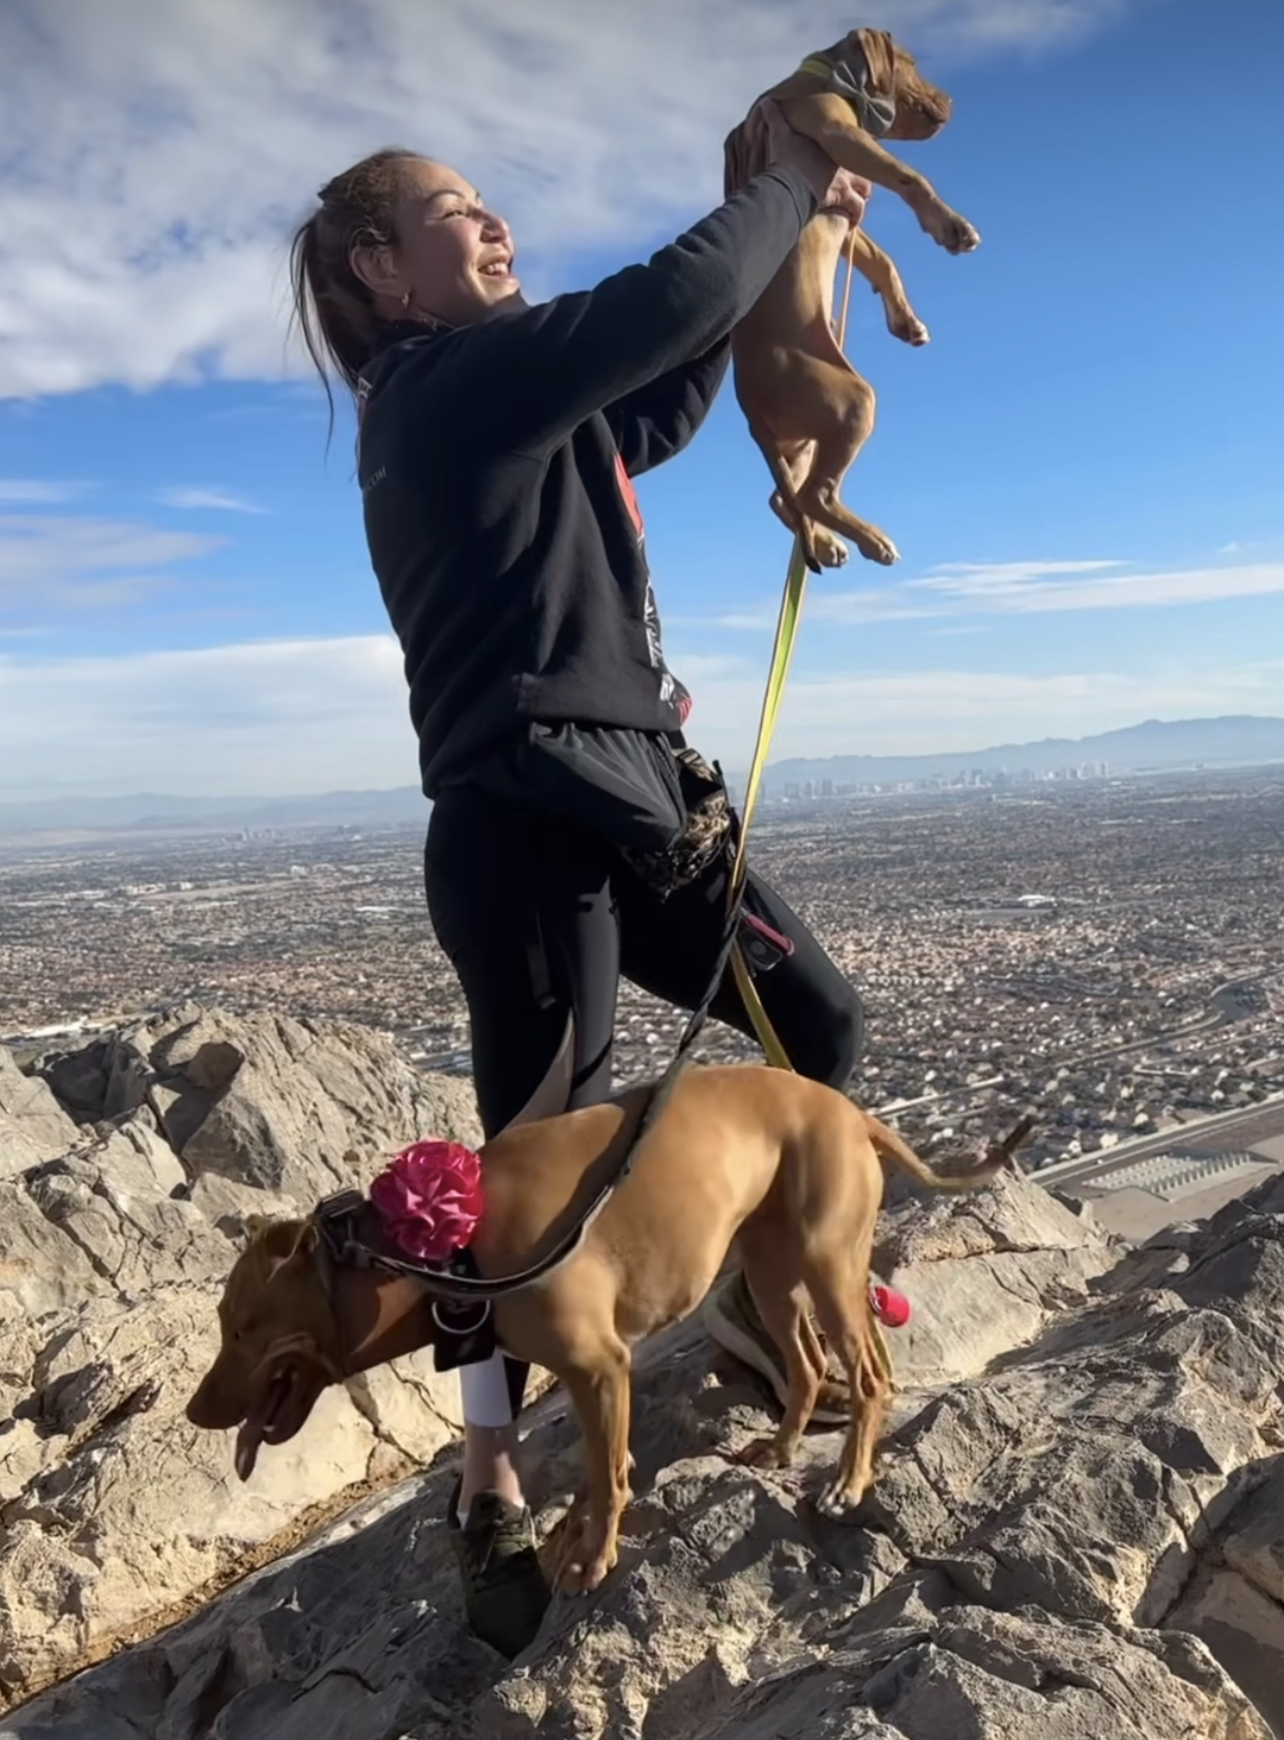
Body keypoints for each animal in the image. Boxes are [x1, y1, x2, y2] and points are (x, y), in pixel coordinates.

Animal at [185, 1050, 1002, 1593]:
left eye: (239, 1327)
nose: (193, 1412)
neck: (440, 1250)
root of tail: (852, 1111)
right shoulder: (588, 1377)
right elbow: (598, 1465)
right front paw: (574, 1533)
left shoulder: (600, 1365)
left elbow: (606, 1478)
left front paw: (590, 1557)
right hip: (775, 1273)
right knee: (805, 1365)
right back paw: (780, 1445)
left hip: (827, 1266)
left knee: (868, 1376)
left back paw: (848, 1483)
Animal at [723, 27, 974, 570]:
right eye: (911, 61)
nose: (953, 100)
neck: (831, 77)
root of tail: (751, 412)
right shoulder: (838, 134)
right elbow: (910, 176)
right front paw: (950, 225)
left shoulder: (844, 202)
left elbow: (882, 258)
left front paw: (906, 320)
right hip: (852, 402)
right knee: (816, 496)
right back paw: (873, 541)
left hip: (803, 442)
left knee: (788, 499)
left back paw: (825, 542)